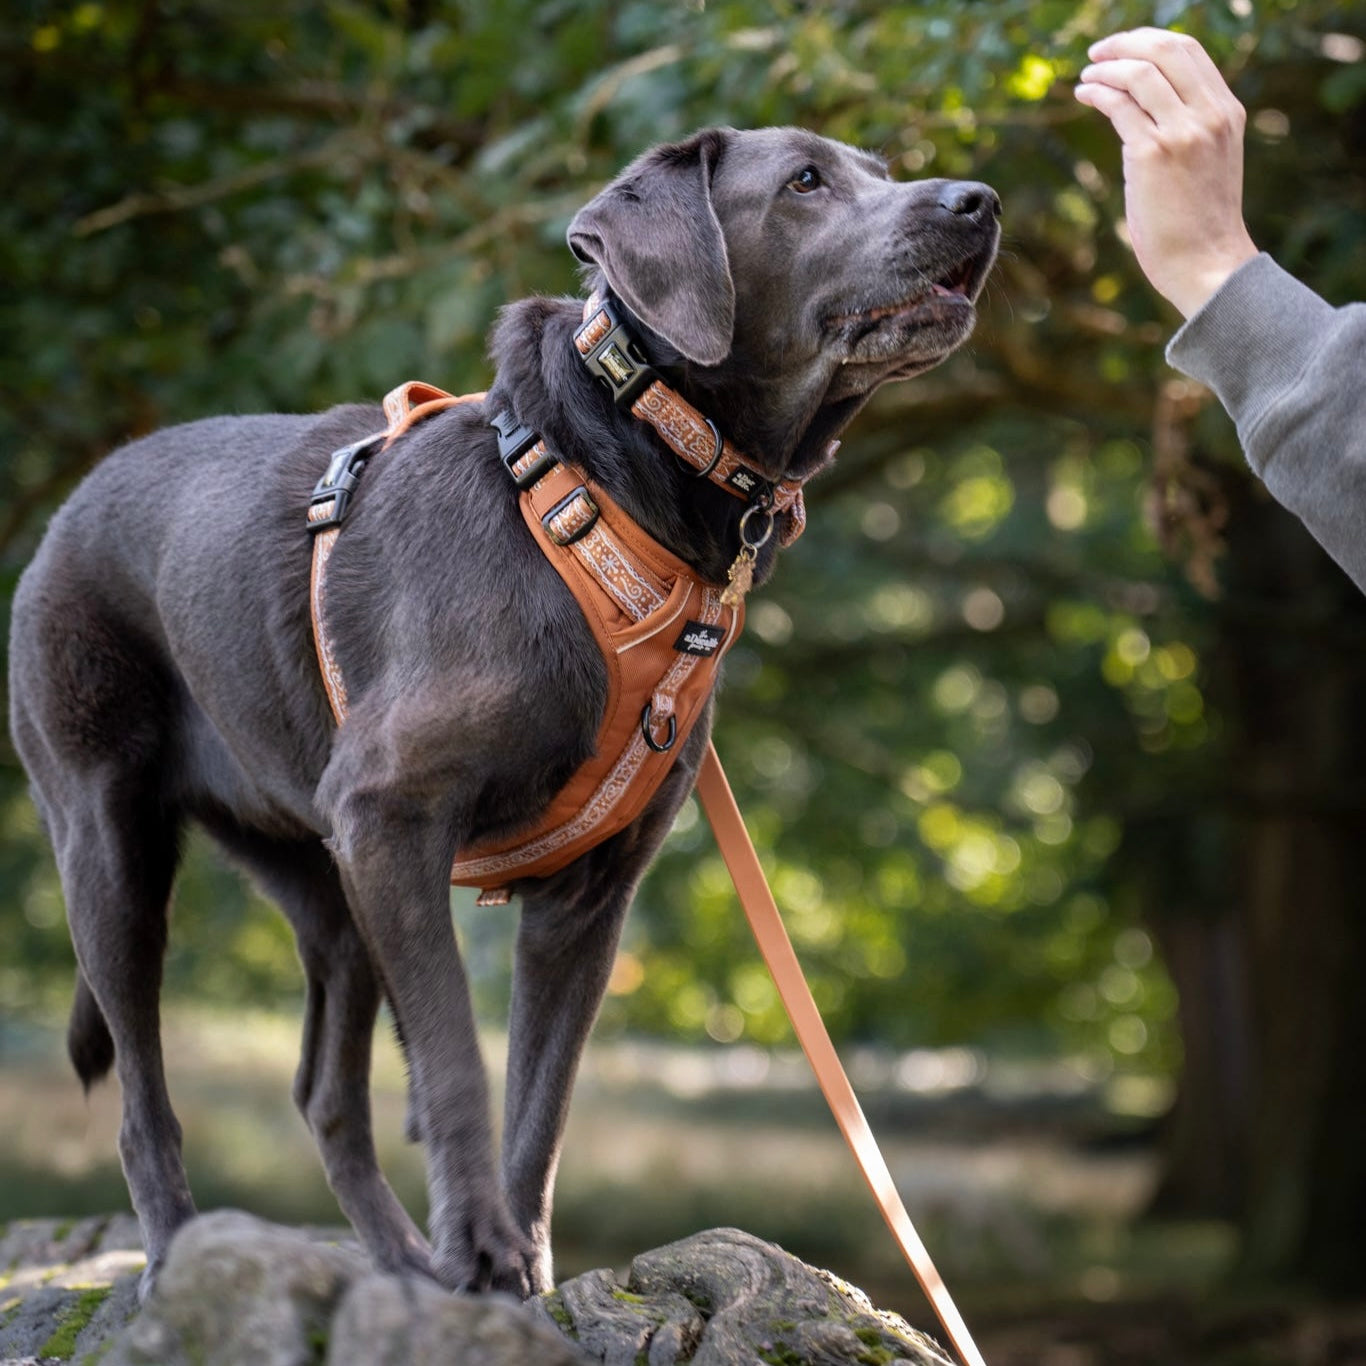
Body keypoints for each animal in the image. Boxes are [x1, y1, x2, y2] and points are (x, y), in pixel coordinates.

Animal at [5, 125, 999, 1300]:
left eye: (881, 169)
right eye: (805, 181)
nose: (981, 200)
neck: (618, 479)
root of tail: (66, 512)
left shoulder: (586, 897)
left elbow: (544, 1105)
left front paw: (517, 1271)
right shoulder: (395, 816)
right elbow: (455, 1064)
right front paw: (482, 1251)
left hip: (326, 886)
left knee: (324, 1094)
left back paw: (398, 1266)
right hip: (111, 848)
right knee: (141, 1096)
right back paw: (173, 1255)